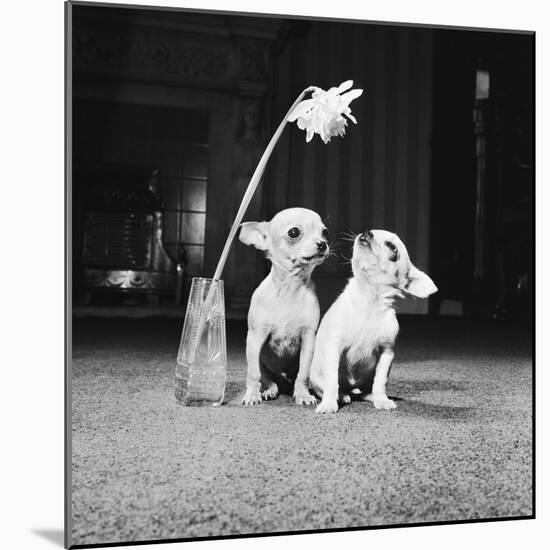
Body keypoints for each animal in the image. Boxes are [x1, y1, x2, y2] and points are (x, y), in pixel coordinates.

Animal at [239, 207, 330, 406]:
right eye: (294, 232)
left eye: (325, 232)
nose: (322, 244)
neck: (290, 289)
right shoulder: (255, 338)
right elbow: (253, 373)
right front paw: (252, 395)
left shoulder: (308, 339)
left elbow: (303, 373)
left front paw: (303, 395)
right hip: (262, 361)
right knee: (266, 377)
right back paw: (269, 390)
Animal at [310, 229, 440, 414]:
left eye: (392, 247)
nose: (367, 232)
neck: (369, 300)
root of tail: (352, 388)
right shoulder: (334, 347)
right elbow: (332, 381)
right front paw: (329, 403)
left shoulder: (386, 352)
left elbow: (380, 381)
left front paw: (381, 399)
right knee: (332, 388)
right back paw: (341, 395)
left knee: (365, 391)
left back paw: (371, 396)